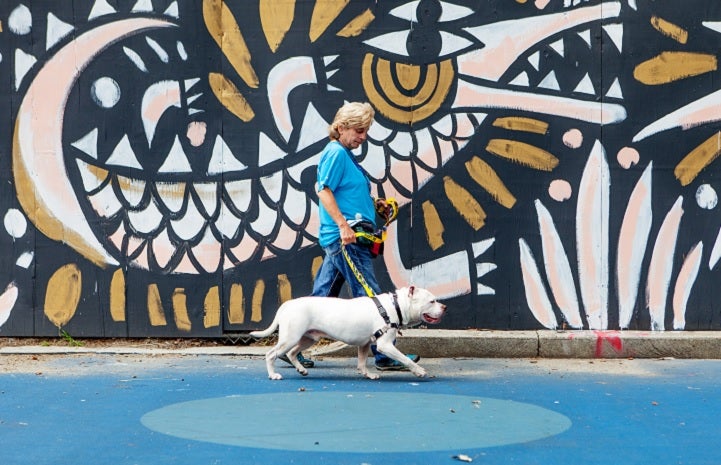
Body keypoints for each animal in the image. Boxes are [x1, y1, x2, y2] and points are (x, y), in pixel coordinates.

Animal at [252, 284, 444, 378]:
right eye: (432, 301)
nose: (445, 307)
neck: (395, 305)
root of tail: (287, 305)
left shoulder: (365, 344)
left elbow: (362, 362)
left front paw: (368, 374)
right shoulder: (385, 345)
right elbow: (405, 359)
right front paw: (419, 371)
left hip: (308, 338)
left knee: (291, 353)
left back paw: (301, 369)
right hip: (291, 337)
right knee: (271, 354)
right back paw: (273, 375)